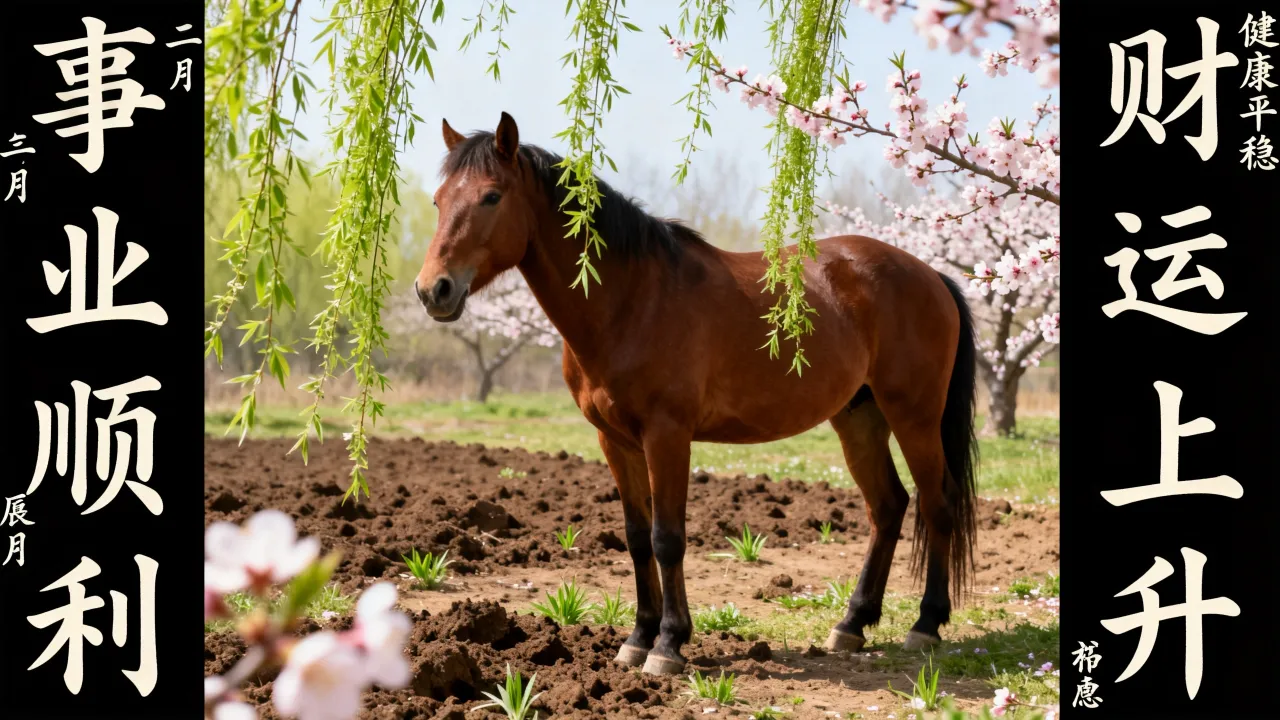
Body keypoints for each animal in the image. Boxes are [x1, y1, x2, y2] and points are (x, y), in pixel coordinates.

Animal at [416, 113, 979, 676]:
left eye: (491, 196)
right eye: (439, 200)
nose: (432, 290)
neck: (631, 300)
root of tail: (931, 275)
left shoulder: (667, 436)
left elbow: (667, 538)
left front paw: (668, 644)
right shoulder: (614, 441)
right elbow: (637, 537)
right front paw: (637, 638)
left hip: (914, 417)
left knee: (937, 503)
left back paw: (925, 624)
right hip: (858, 418)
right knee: (888, 506)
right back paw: (852, 624)